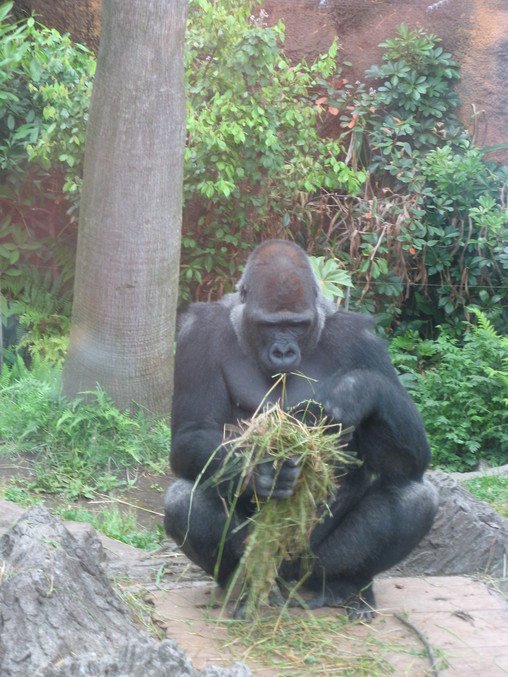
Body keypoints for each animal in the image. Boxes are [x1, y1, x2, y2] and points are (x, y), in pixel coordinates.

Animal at [165, 238, 438, 616]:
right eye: (269, 325)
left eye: (297, 324)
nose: (283, 351)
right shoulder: (198, 333)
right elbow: (191, 434)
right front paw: (261, 470)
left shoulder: (363, 339)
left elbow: (408, 461)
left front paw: (353, 391)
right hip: (272, 565)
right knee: (184, 499)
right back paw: (244, 588)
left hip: (312, 562)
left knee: (414, 498)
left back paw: (346, 584)